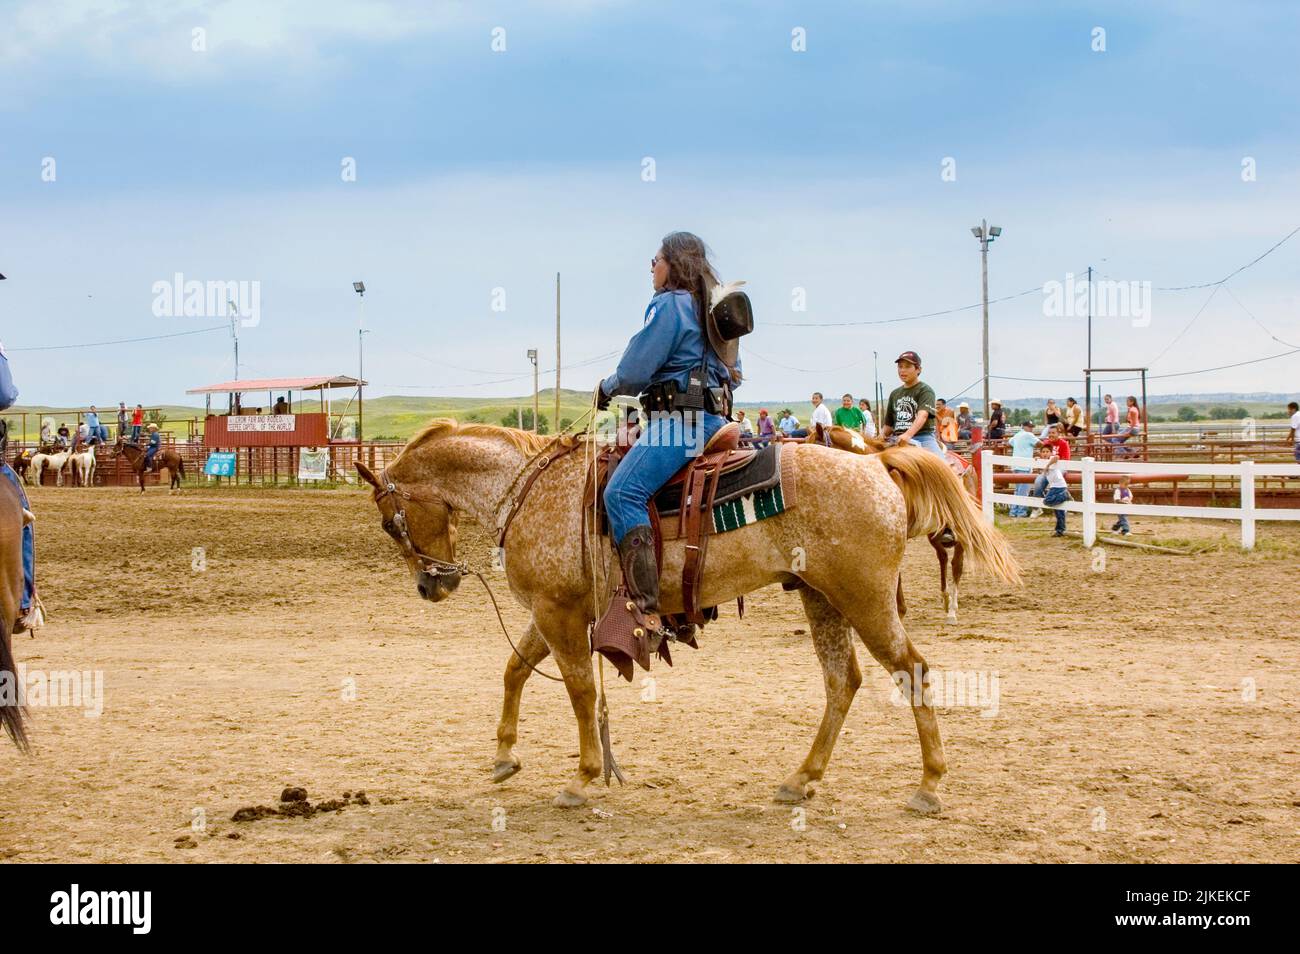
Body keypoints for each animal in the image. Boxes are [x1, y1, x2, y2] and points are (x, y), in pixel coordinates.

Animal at [361, 418, 1019, 816]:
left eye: (391, 522)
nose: (432, 584)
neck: (528, 490)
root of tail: (878, 465)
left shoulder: (558, 612)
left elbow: (578, 690)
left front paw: (583, 777)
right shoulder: (555, 609)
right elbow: (515, 668)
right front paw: (504, 756)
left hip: (865, 599)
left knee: (912, 670)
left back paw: (928, 786)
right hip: (822, 597)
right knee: (843, 681)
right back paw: (801, 778)